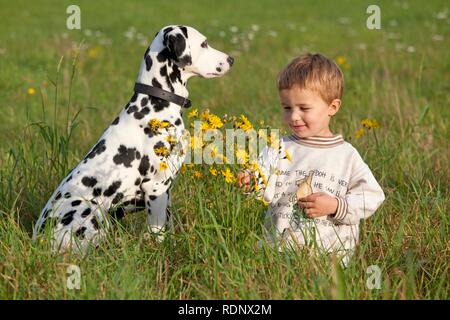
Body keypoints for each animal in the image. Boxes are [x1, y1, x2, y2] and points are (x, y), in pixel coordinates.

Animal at [33, 25, 234, 251]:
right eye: (204, 44)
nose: (231, 59)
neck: (155, 103)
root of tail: (40, 240)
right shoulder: (156, 187)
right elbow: (158, 233)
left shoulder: (166, 191)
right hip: (92, 210)